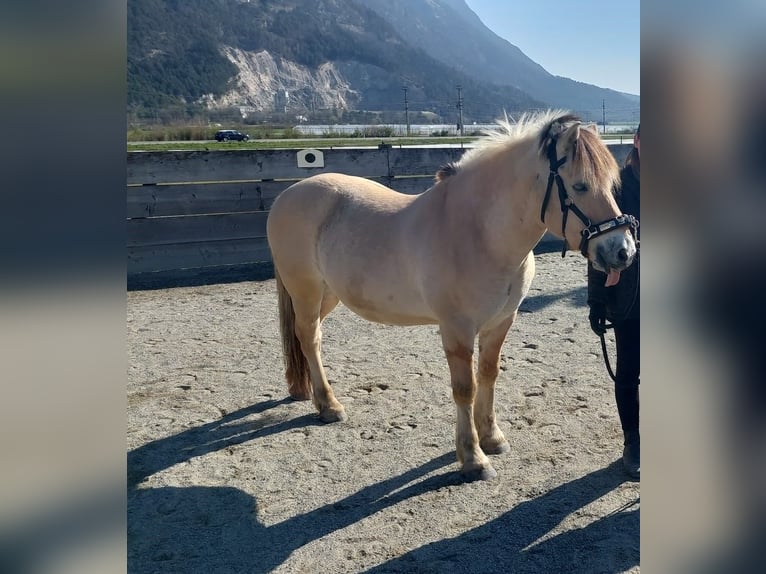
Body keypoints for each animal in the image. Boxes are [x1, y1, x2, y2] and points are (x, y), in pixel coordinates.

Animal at [268, 111, 640, 482]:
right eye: (580, 186)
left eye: (612, 185)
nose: (623, 252)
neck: (479, 233)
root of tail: (288, 195)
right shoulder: (456, 329)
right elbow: (465, 388)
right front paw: (473, 459)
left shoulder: (500, 322)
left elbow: (488, 374)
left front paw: (492, 438)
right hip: (306, 290)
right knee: (308, 337)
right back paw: (329, 406)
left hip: (328, 294)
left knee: (310, 337)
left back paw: (309, 394)